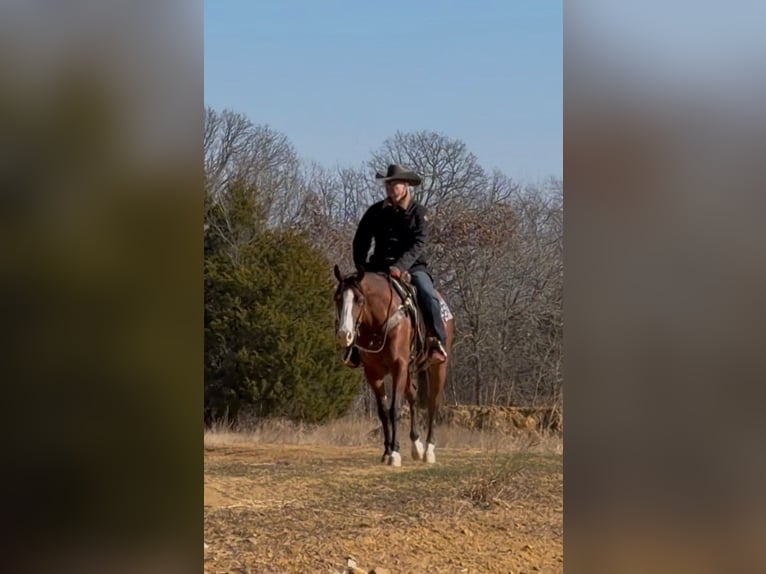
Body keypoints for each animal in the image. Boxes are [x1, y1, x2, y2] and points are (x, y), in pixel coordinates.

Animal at [333, 264, 455, 466]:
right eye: (337, 298)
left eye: (359, 300)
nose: (344, 334)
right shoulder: (373, 372)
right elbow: (383, 412)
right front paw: (387, 451)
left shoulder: (399, 366)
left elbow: (394, 409)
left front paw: (395, 453)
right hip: (408, 370)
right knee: (413, 395)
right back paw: (416, 445)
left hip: (438, 367)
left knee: (433, 403)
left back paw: (429, 450)